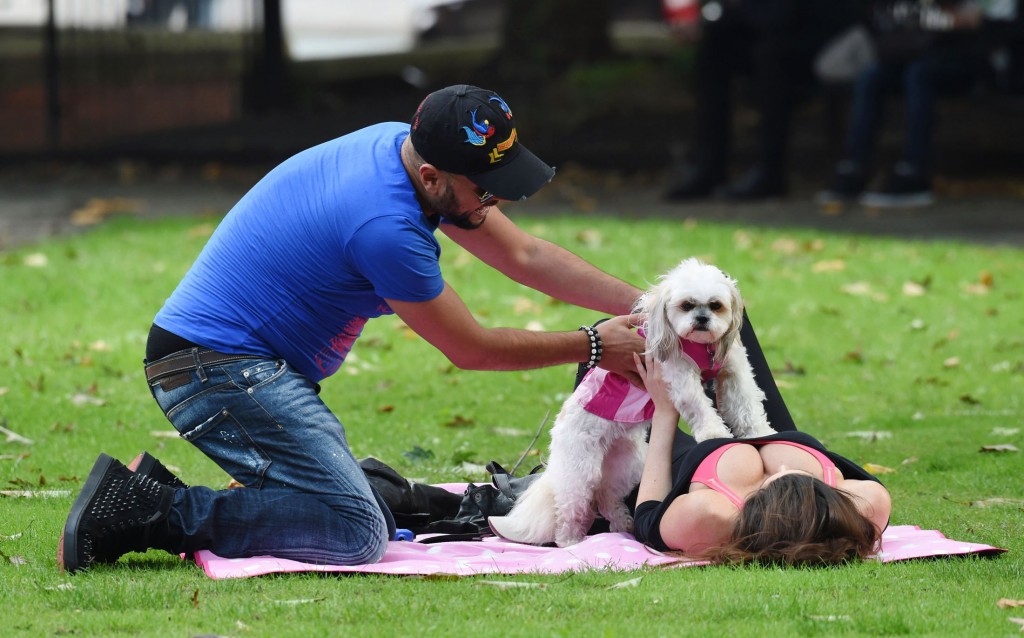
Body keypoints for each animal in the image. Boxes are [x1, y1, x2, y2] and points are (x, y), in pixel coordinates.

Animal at [487, 257, 774, 544]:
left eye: (716, 305)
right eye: (686, 305)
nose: (702, 319)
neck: (702, 346)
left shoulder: (734, 372)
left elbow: (746, 404)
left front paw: (760, 433)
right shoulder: (680, 376)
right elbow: (700, 406)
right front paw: (715, 434)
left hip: (627, 464)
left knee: (606, 495)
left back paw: (622, 525)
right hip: (580, 470)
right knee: (570, 506)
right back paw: (570, 541)